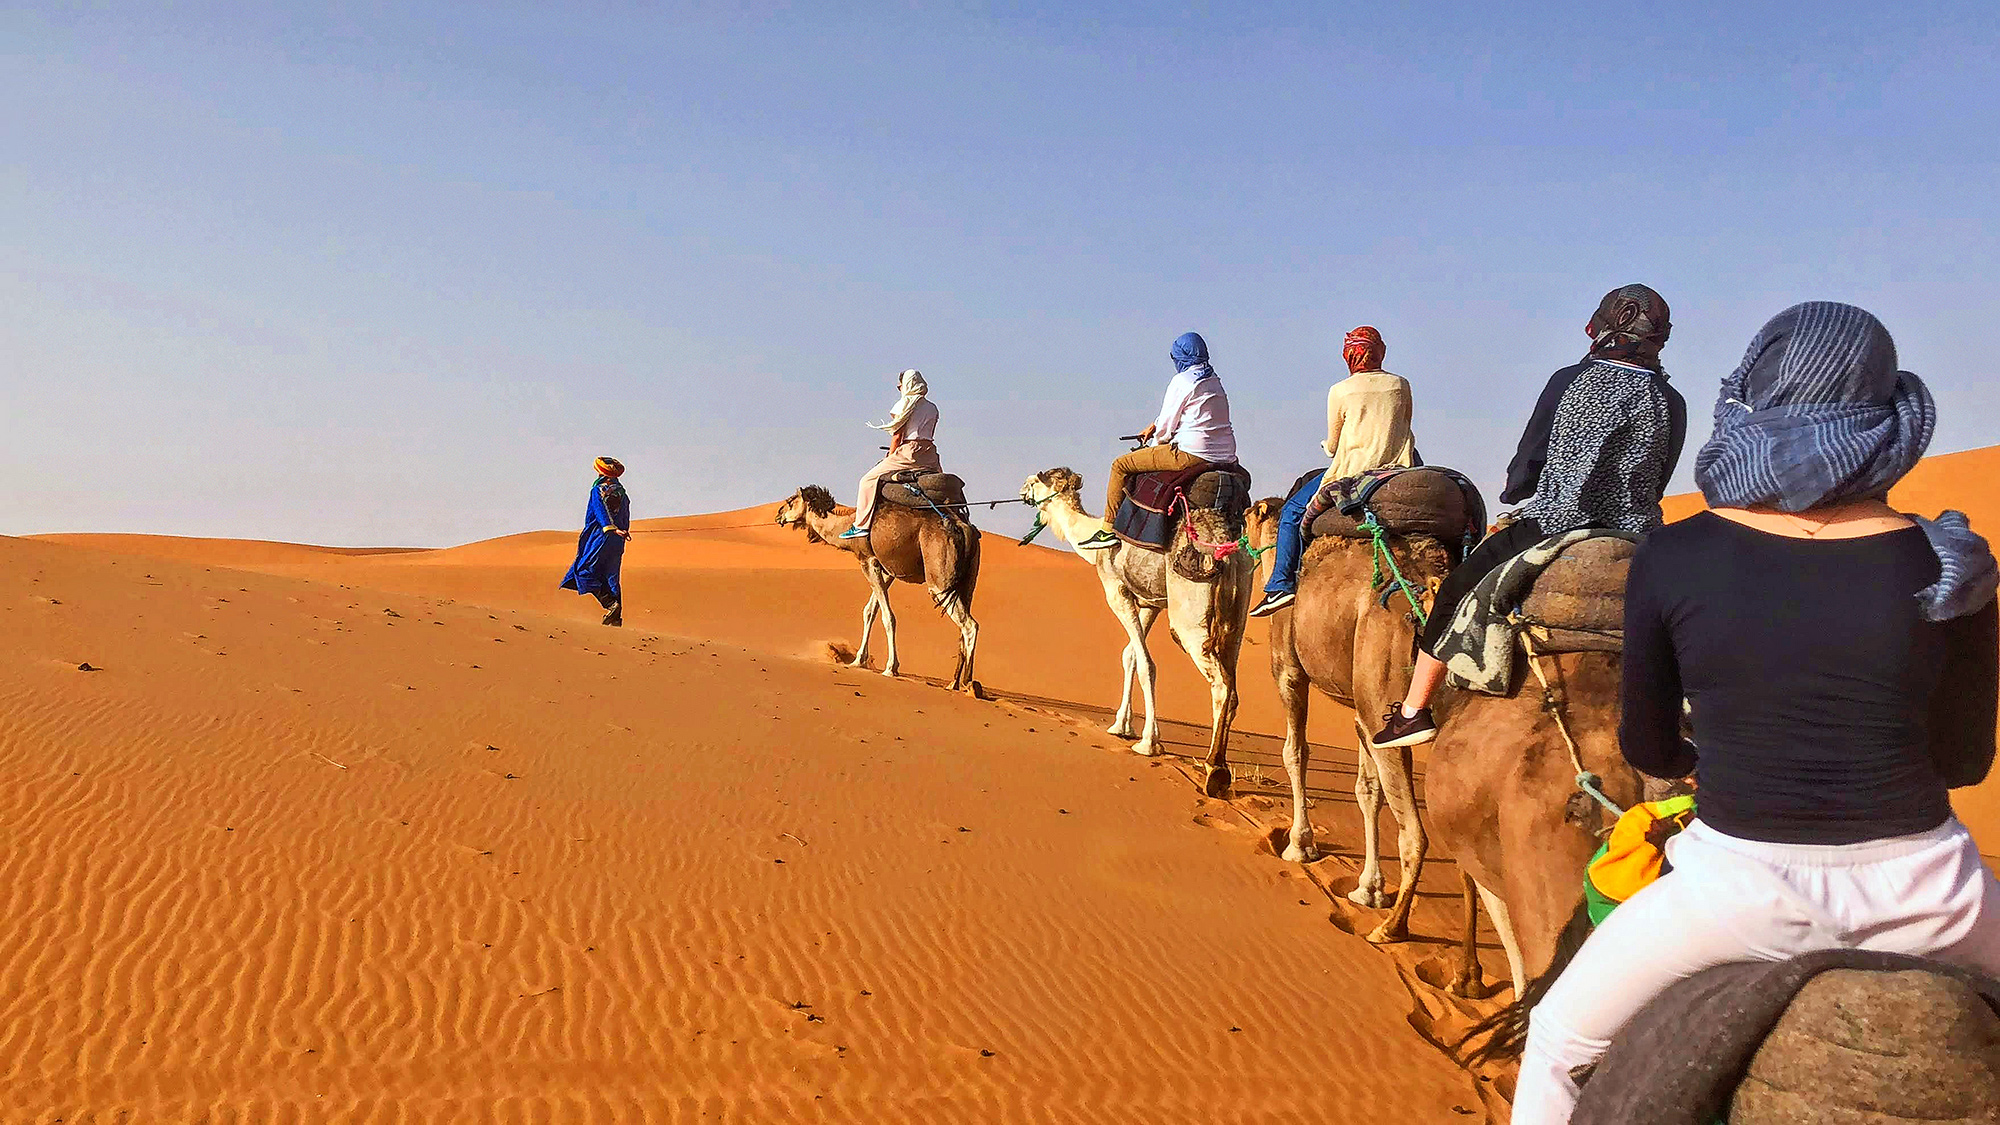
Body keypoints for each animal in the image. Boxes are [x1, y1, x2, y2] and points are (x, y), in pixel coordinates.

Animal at [768, 484, 980, 692]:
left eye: (790, 501)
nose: (778, 514)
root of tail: (964, 528)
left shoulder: (869, 560)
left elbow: (888, 616)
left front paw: (890, 668)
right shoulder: (886, 569)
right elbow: (869, 611)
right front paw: (857, 661)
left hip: (938, 579)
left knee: (969, 624)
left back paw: (968, 684)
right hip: (968, 579)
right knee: (963, 622)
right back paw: (953, 683)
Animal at [1016, 464, 1248, 796]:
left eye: (1033, 481)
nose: (1021, 492)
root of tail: (1224, 549)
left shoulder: (1116, 591)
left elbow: (1147, 664)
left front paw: (1149, 742)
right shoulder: (1151, 602)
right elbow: (1131, 656)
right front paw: (1120, 726)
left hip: (1189, 615)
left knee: (1219, 682)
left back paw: (1213, 770)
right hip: (1236, 617)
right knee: (1233, 681)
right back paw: (1222, 769)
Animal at [1232, 494, 1456, 940]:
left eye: (1248, 514)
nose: (1235, 524)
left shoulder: (1289, 670)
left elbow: (1295, 752)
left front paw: (1299, 846)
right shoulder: (1362, 716)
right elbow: (1367, 791)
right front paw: (1368, 889)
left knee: (1415, 834)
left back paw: (1391, 928)